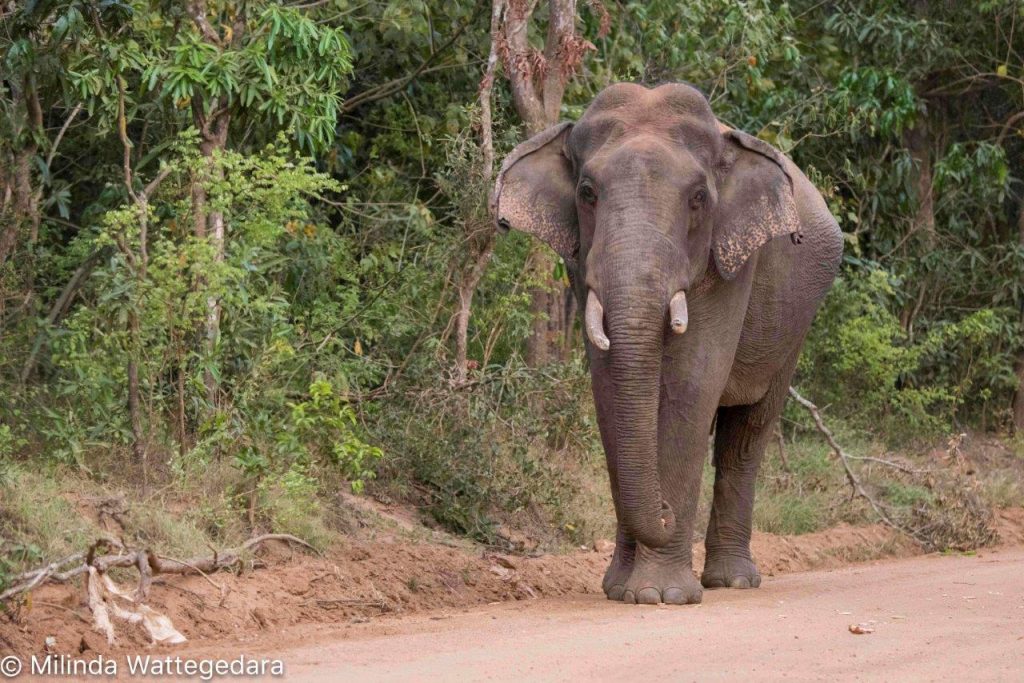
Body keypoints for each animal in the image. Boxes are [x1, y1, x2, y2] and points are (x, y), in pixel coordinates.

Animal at [493, 82, 839, 606]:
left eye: (698, 198)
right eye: (586, 193)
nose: (664, 511)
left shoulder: (729, 262)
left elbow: (689, 389)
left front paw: (663, 595)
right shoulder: (580, 263)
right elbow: (609, 393)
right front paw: (621, 591)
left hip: (797, 324)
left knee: (748, 432)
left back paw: (733, 581)